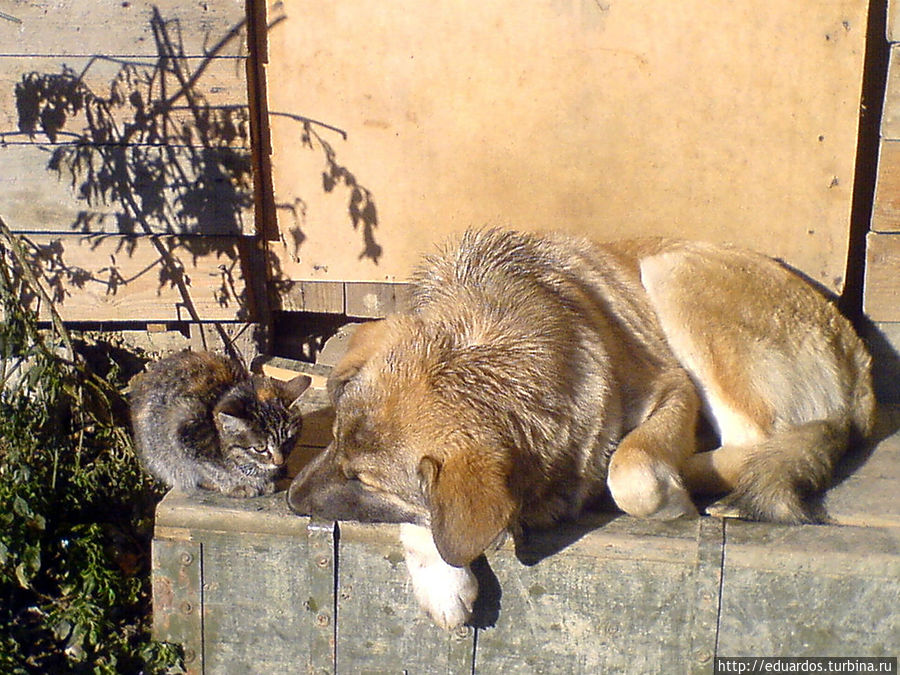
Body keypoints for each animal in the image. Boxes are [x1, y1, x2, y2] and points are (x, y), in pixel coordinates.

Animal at [126, 352, 310, 500]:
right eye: (260, 448)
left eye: (289, 440)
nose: (280, 462)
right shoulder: (185, 437)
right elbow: (210, 470)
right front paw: (237, 485)